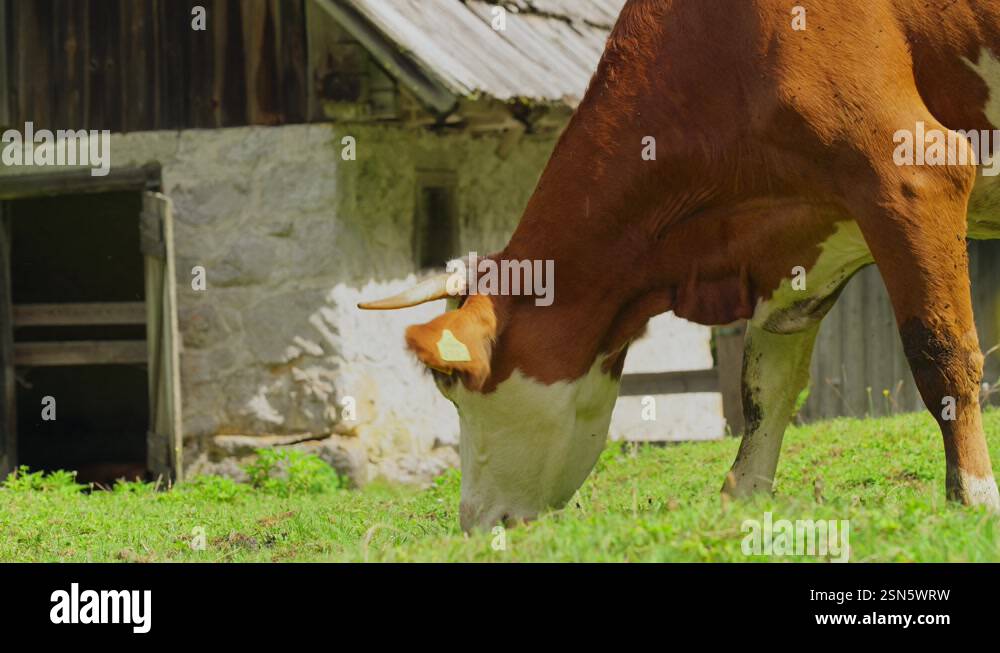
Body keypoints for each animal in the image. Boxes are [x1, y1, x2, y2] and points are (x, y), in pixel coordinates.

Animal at [361, 0, 1000, 531]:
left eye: (455, 388)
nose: (473, 523)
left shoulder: (913, 173)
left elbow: (941, 353)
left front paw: (973, 495)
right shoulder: (804, 246)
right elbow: (764, 388)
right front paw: (744, 500)